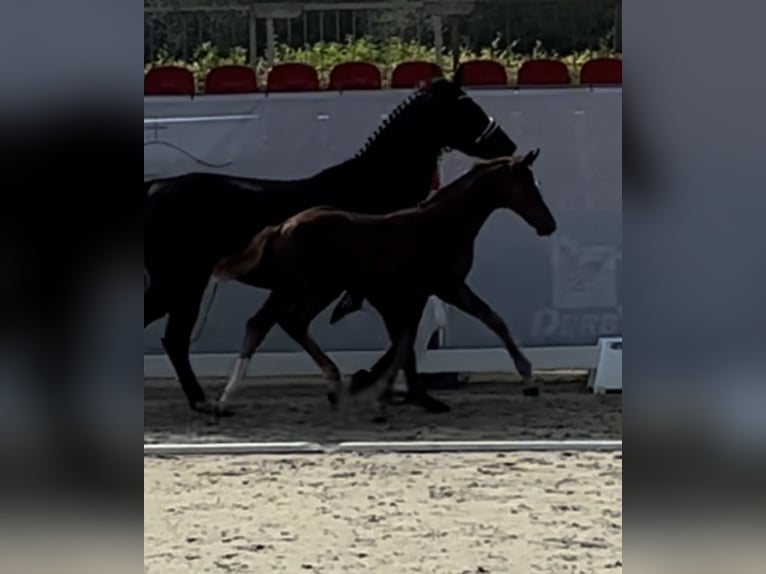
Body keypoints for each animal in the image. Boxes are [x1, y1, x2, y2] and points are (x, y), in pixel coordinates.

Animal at [144, 77, 520, 418]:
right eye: (466, 107)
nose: (508, 144)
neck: (373, 188)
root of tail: (154, 188)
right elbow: (407, 335)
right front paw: (377, 384)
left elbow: (409, 333)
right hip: (179, 283)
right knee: (174, 336)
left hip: (186, 286)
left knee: (174, 339)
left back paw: (203, 401)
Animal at [216, 152, 560, 424]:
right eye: (526, 186)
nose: (549, 225)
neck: (440, 226)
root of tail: (281, 227)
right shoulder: (431, 290)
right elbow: (406, 343)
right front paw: (384, 400)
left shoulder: (438, 290)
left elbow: (490, 319)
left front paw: (528, 378)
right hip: (297, 287)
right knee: (262, 323)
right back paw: (228, 397)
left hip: (319, 290)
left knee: (292, 322)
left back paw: (334, 384)